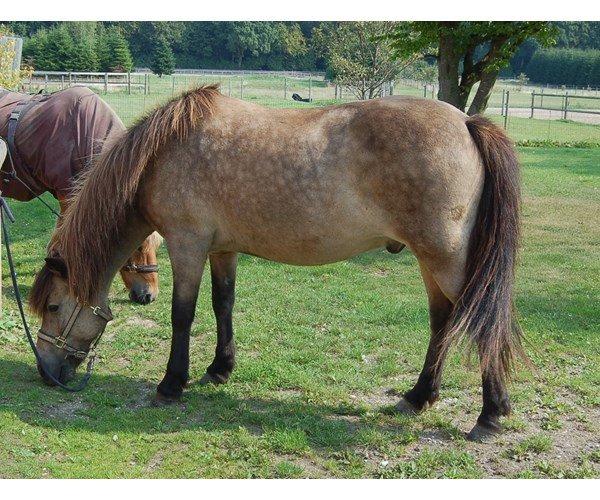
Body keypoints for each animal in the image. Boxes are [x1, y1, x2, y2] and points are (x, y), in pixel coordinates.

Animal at [30, 86, 524, 442]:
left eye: (53, 307)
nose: (46, 373)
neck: (162, 154)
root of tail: (466, 121)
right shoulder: (221, 249)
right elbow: (223, 305)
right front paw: (220, 368)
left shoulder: (187, 245)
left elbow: (182, 315)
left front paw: (172, 383)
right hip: (430, 261)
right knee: (443, 322)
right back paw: (419, 397)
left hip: (447, 261)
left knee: (484, 324)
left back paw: (489, 415)